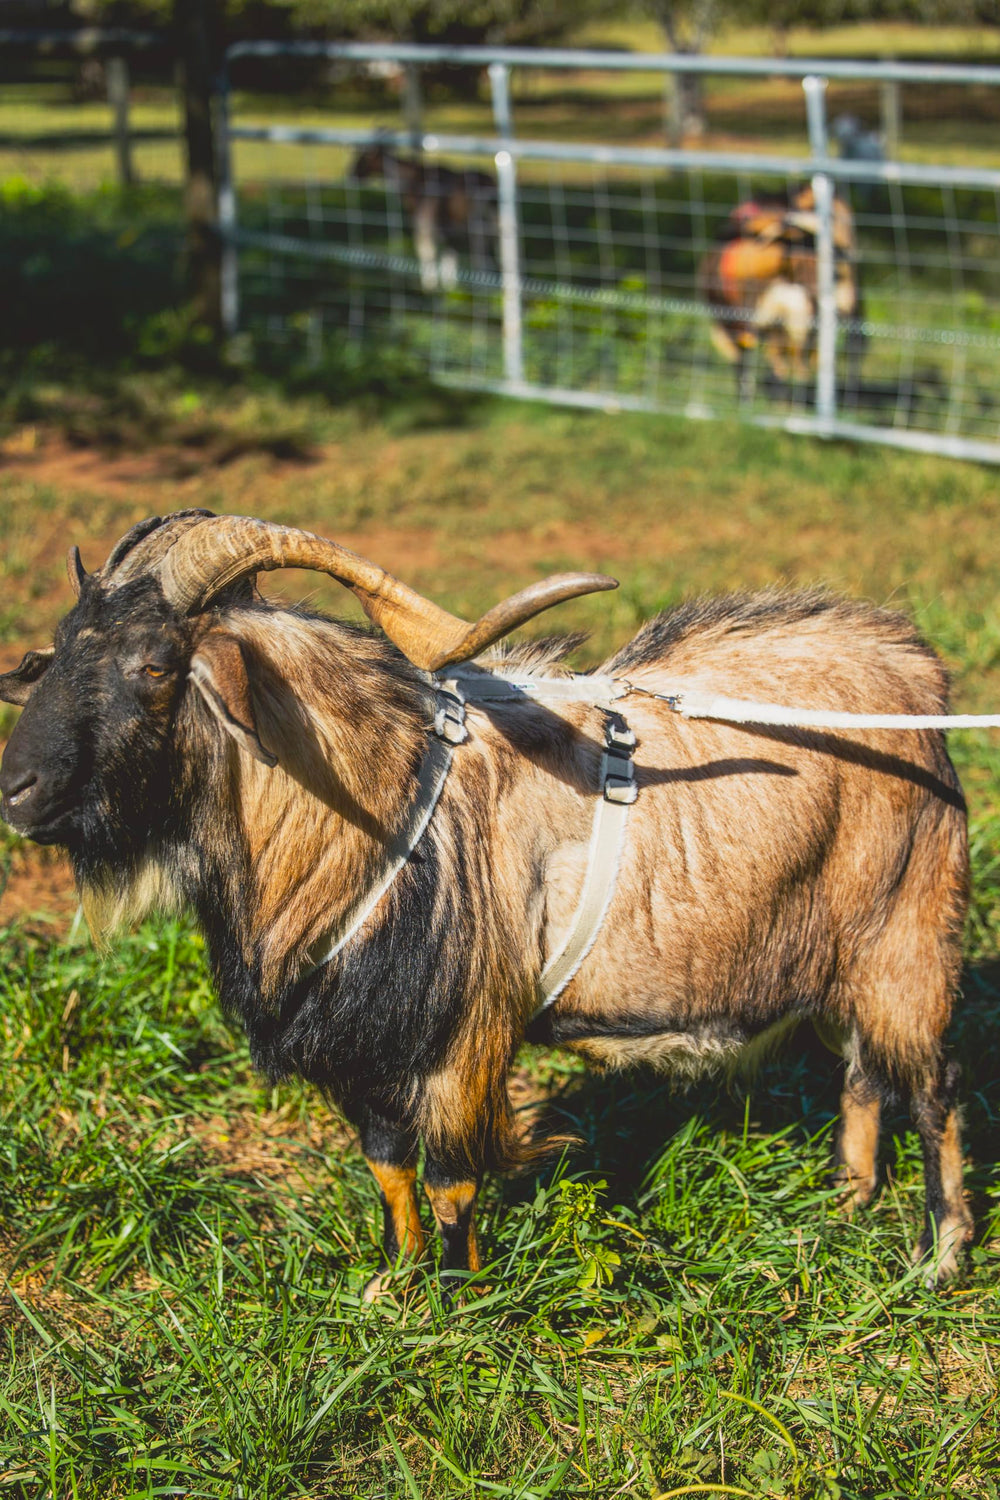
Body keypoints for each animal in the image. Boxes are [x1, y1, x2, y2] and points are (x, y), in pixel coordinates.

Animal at [0, 512, 973, 1291]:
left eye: (156, 664)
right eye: (59, 648)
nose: (17, 788)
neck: (378, 809)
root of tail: (919, 674)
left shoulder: (463, 1038)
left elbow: (450, 1182)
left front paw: (460, 1299)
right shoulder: (367, 1049)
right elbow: (389, 1170)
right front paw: (394, 1284)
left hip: (910, 937)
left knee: (934, 1090)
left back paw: (942, 1253)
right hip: (849, 957)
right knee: (862, 1074)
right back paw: (849, 1202)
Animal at [349, 142, 498, 292]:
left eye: (365, 156)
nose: (351, 174)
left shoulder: (424, 223)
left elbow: (426, 252)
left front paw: (429, 286)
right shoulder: (446, 230)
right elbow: (448, 256)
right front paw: (449, 287)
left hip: (477, 228)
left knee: (481, 257)